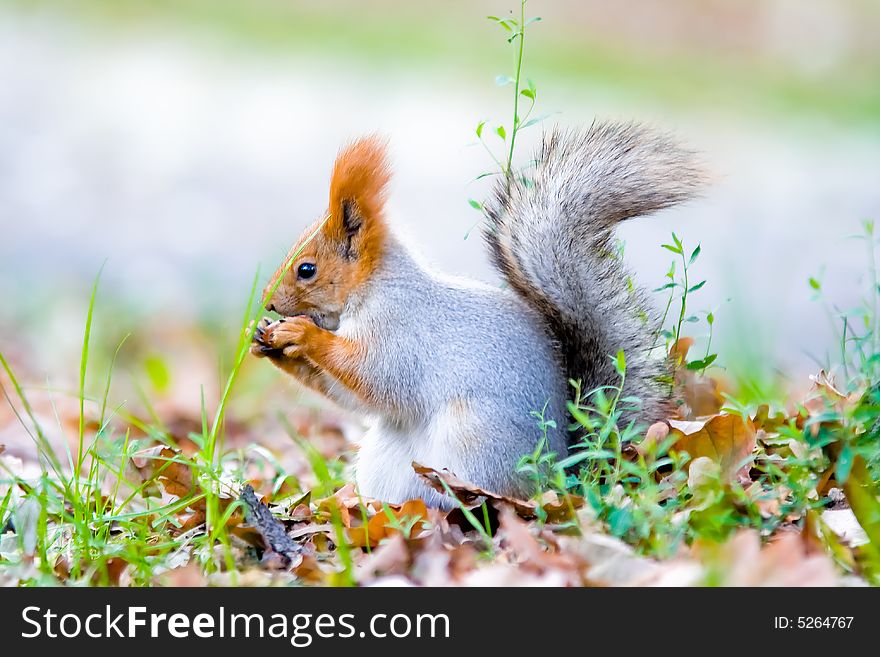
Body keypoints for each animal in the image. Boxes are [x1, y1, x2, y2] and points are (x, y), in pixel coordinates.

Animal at [251, 120, 704, 508]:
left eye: (306, 269)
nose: (269, 303)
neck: (374, 289)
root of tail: (562, 470)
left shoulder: (401, 330)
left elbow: (375, 376)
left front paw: (302, 335)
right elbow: (350, 395)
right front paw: (269, 344)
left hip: (472, 440)